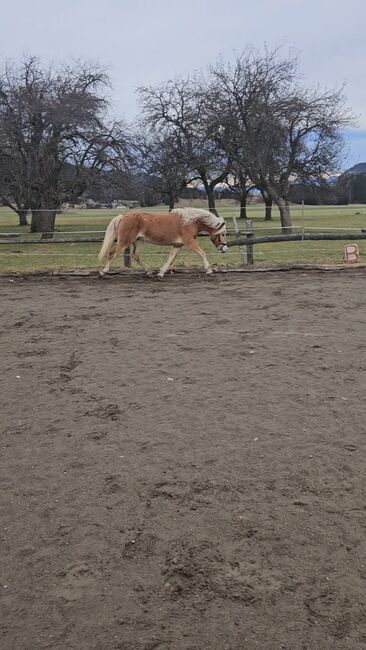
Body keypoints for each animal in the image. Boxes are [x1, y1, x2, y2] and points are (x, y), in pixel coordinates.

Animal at [98, 209, 227, 278]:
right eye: (222, 233)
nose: (224, 249)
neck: (190, 221)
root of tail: (123, 216)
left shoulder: (178, 245)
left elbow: (171, 258)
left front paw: (161, 273)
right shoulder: (189, 241)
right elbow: (202, 253)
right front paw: (209, 270)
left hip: (139, 241)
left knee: (135, 255)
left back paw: (149, 271)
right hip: (125, 241)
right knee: (112, 254)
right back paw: (103, 272)